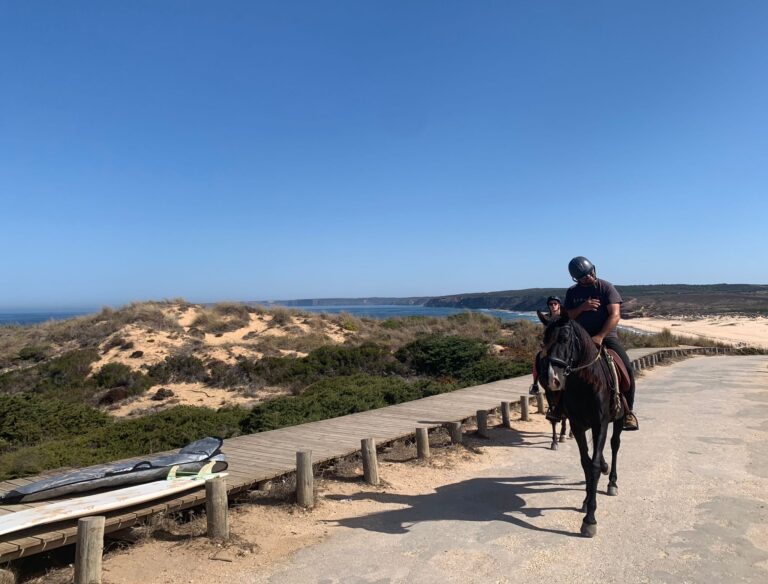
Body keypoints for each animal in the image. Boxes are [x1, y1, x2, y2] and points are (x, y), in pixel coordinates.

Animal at [536, 314, 620, 540]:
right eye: (544, 340)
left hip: (618, 421)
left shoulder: (601, 423)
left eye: (564, 338)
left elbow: (594, 465)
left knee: (615, 445)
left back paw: (612, 482)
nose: (552, 379)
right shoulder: (578, 425)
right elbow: (586, 463)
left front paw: (590, 519)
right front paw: (586, 502)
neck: (586, 382)